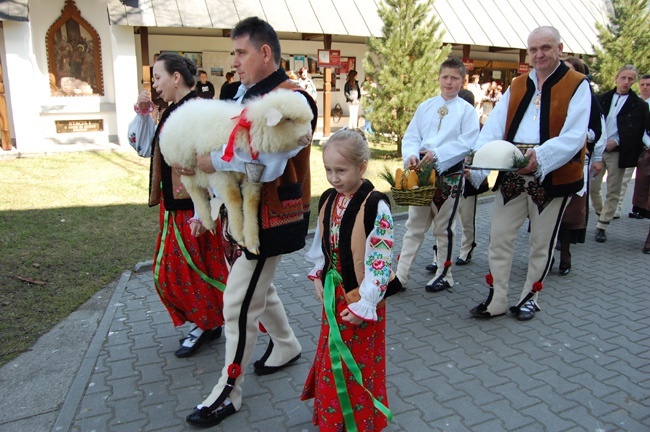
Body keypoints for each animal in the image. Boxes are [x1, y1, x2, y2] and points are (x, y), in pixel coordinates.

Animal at [161, 89, 316, 255]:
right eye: (288, 119)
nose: (308, 138)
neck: (247, 130)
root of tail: (179, 108)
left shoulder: (251, 177)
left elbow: (251, 203)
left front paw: (252, 242)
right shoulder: (220, 174)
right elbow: (234, 198)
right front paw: (239, 236)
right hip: (185, 165)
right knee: (195, 191)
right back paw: (208, 222)